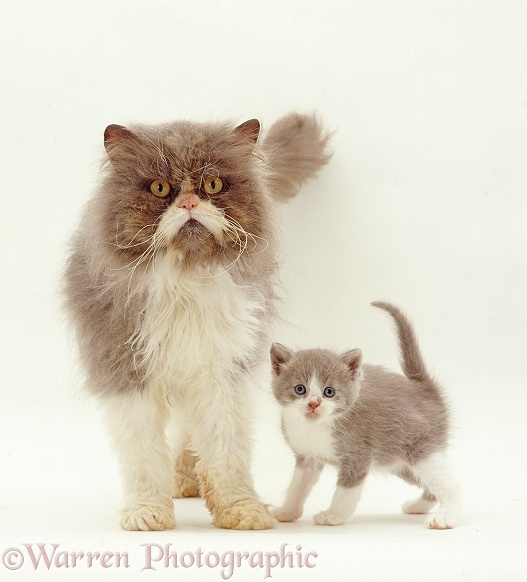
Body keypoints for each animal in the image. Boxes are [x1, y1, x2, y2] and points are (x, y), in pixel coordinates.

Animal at [64, 112, 330, 532]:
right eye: (159, 188)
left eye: (213, 185)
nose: (189, 202)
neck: (185, 280)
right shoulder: (126, 371)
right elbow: (143, 456)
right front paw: (147, 512)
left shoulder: (221, 373)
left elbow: (226, 455)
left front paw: (241, 510)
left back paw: (188, 476)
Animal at [270, 304, 464, 532]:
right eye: (300, 389)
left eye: (329, 392)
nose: (314, 403)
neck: (315, 427)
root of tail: (423, 387)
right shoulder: (307, 458)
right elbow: (297, 486)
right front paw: (287, 512)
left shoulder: (359, 456)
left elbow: (345, 493)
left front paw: (333, 516)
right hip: (400, 462)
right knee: (430, 487)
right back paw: (418, 506)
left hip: (420, 449)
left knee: (451, 485)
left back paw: (446, 516)